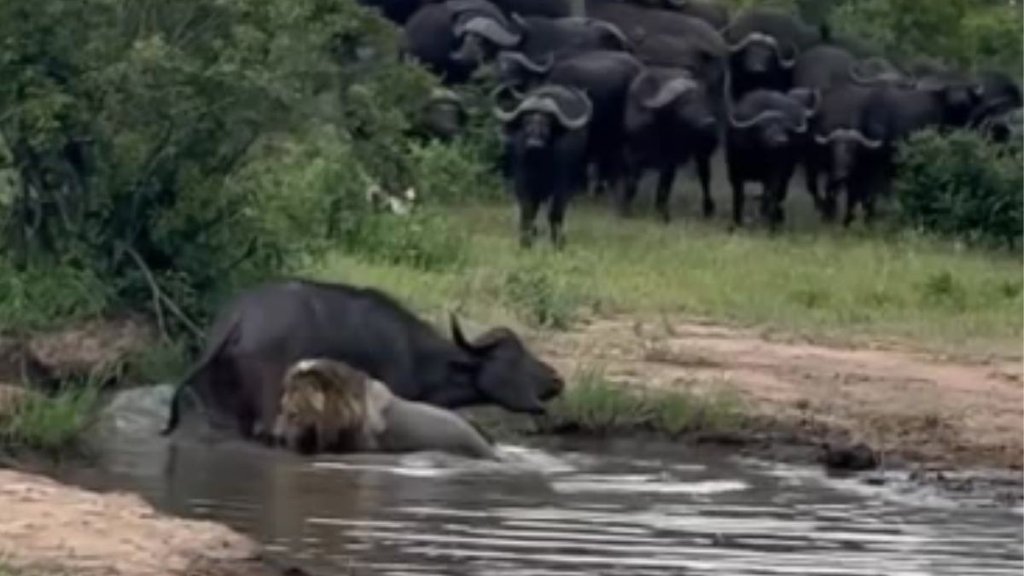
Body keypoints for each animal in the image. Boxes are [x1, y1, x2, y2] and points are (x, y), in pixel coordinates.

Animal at [495, 84, 593, 247]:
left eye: (547, 123)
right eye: (526, 122)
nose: (534, 144)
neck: (540, 164)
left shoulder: (562, 185)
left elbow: (555, 213)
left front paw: (558, 243)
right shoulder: (522, 183)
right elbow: (527, 211)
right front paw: (525, 242)